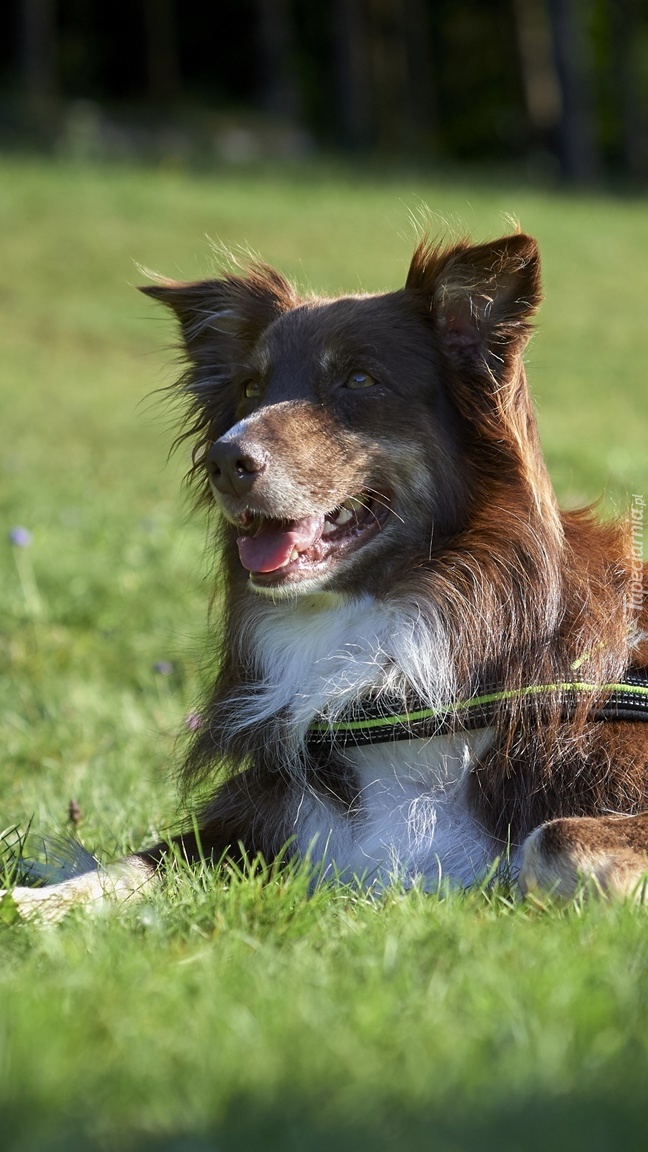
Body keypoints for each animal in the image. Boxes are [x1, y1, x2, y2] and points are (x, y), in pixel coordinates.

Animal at [5, 233, 645, 916]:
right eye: (251, 387)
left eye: (359, 378)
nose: (223, 460)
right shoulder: (267, 825)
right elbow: (131, 864)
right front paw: (32, 906)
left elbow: (553, 840)